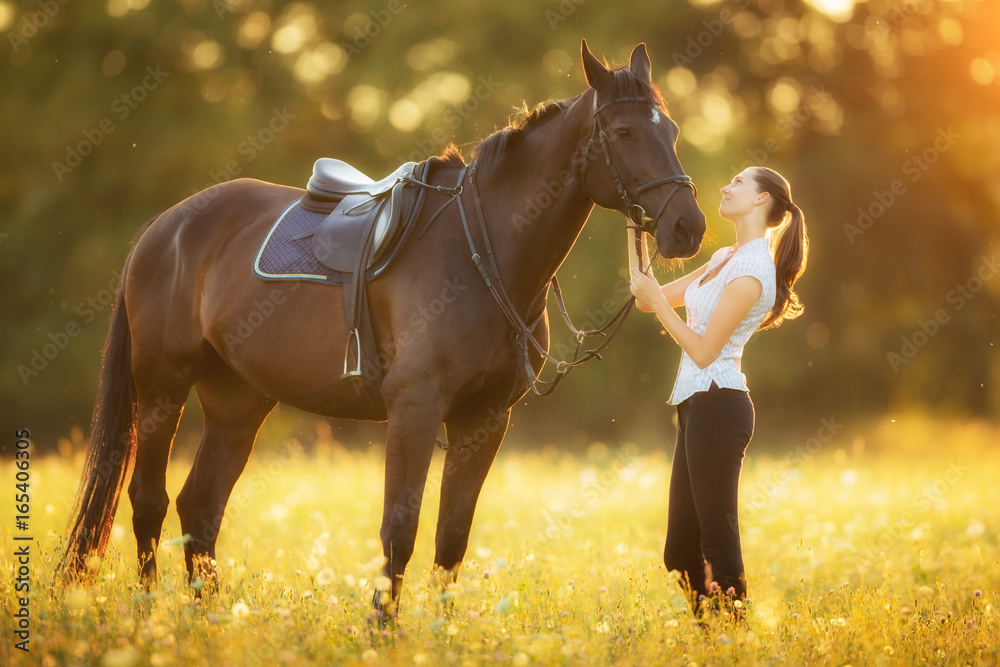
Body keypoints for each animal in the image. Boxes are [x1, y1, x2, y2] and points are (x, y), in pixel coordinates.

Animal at [62, 39, 704, 620]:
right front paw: (383, 628)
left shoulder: (483, 420)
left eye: (671, 131)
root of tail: (165, 226)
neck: (483, 253)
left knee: (200, 506)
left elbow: (452, 536)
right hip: (162, 390)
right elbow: (400, 529)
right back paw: (153, 616)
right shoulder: (414, 409)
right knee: (148, 501)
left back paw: (209, 618)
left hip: (237, 402)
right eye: (623, 133)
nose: (688, 227)